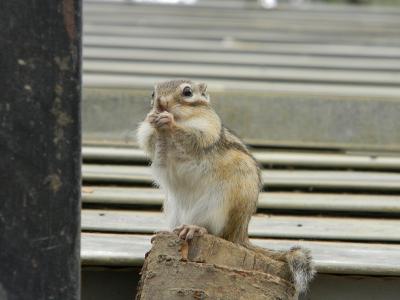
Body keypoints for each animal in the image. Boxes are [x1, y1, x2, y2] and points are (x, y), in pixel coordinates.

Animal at [138, 79, 316, 292]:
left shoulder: (208, 129)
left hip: (219, 207)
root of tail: (240, 235)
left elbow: (193, 137)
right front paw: (153, 119)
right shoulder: (151, 140)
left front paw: (168, 120)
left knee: (219, 233)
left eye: (187, 92)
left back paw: (195, 229)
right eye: (152, 93)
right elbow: (148, 139)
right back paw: (166, 231)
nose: (160, 104)